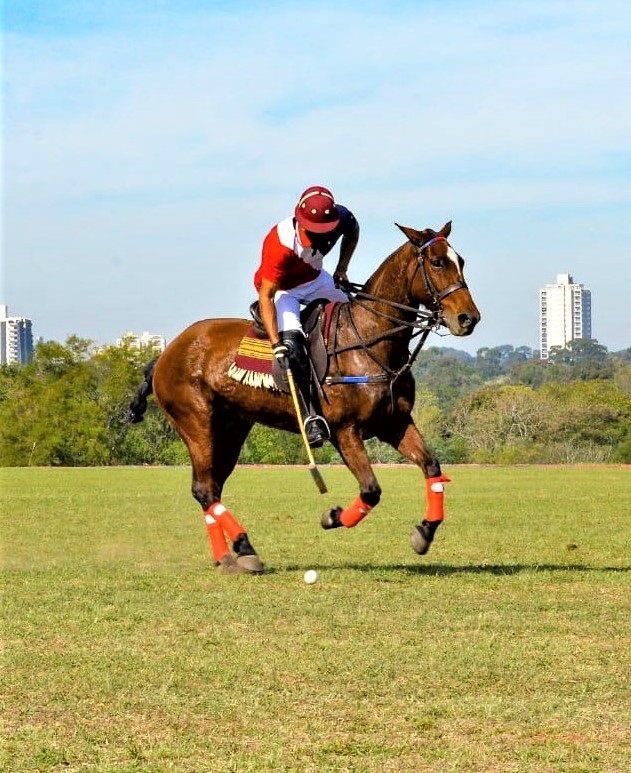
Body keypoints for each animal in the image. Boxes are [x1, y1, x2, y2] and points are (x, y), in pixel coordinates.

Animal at [131, 220, 482, 568]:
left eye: (462, 261)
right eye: (437, 262)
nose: (469, 319)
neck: (370, 337)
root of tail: (164, 355)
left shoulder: (393, 423)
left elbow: (432, 466)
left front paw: (424, 532)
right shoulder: (345, 430)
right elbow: (371, 489)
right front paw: (332, 517)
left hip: (230, 429)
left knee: (211, 487)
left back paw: (229, 555)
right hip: (197, 424)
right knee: (204, 489)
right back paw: (242, 548)